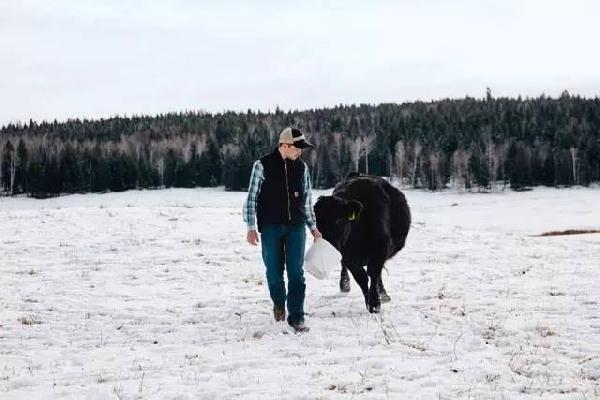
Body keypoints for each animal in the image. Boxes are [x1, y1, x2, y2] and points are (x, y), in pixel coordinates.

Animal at [314, 173, 408, 314]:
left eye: (338, 220)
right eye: (318, 223)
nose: (326, 247)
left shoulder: (380, 249)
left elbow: (373, 274)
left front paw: (375, 303)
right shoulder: (348, 257)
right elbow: (361, 277)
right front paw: (370, 302)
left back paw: (383, 294)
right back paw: (345, 285)